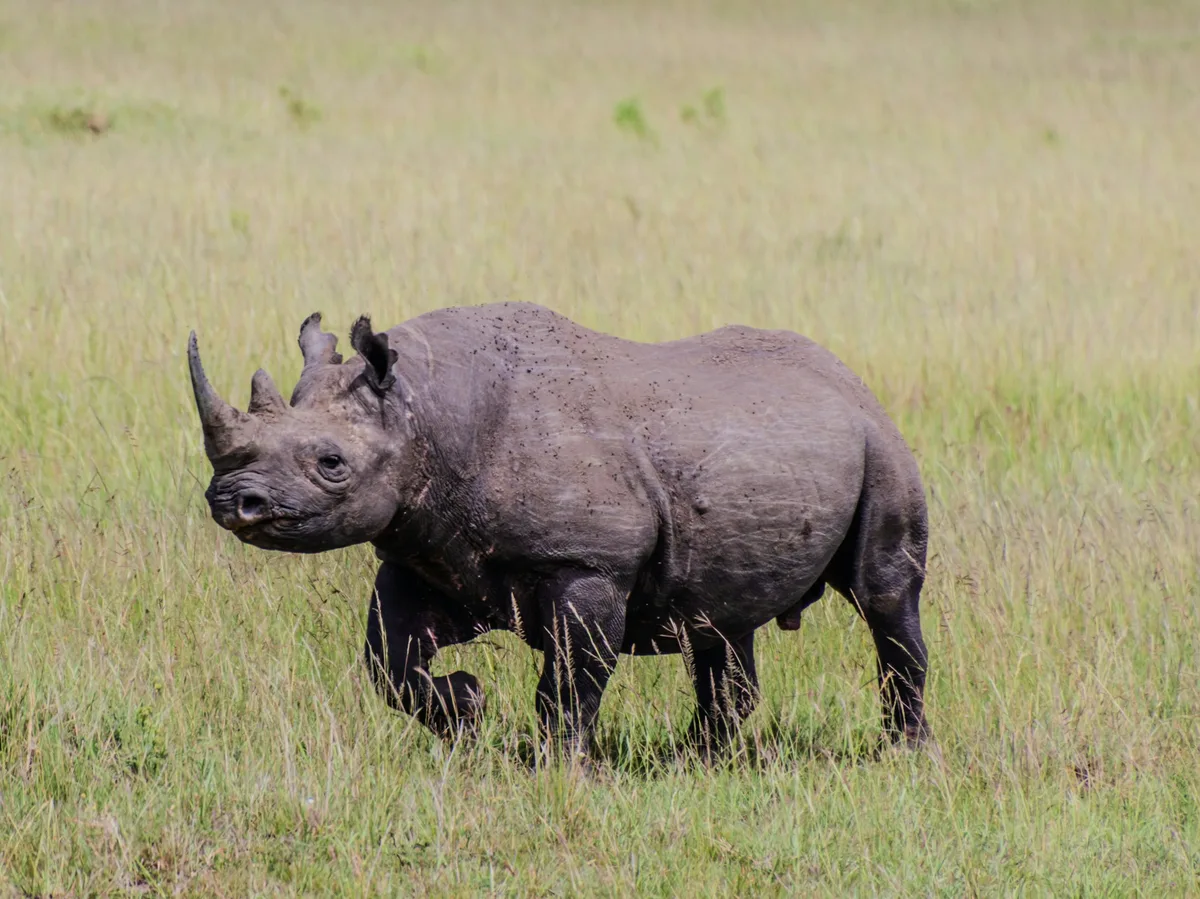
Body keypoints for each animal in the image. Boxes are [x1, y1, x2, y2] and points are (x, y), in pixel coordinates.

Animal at [187, 302, 931, 756]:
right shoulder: (429, 548)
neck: (424, 413)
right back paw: (696, 760)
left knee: (884, 594)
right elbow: (388, 661)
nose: (233, 500)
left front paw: (556, 763)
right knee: (721, 619)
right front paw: (467, 708)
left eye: (331, 464)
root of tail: (850, 378)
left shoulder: (589, 561)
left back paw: (903, 750)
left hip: (882, 446)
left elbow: (573, 677)